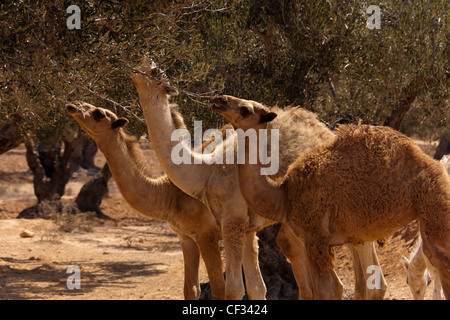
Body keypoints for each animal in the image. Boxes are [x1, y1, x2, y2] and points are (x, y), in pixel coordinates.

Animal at [66, 100, 225, 300]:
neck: (168, 194)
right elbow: (191, 289)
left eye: (99, 114)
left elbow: (220, 290)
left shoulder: (207, 236)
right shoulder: (186, 237)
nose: (73, 105)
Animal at [130, 58, 386, 302]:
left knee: (370, 281)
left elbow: (233, 288)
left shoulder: (232, 220)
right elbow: (255, 288)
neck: (206, 169)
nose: (135, 68)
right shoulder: (246, 227)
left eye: (155, 71)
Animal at [211, 96, 450, 298]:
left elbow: (326, 291)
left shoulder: (317, 238)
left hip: (433, 208)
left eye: (245, 109)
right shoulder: (309, 240)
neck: (283, 195)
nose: (219, 99)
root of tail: (435, 164)